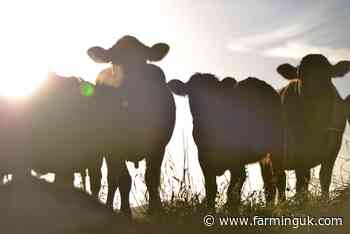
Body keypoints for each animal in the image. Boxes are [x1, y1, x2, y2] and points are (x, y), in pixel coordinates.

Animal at [87, 34, 175, 216]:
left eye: (143, 60)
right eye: (114, 62)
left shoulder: (158, 146)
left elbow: (152, 178)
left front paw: (156, 211)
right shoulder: (114, 147)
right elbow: (123, 180)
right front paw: (125, 212)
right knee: (111, 178)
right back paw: (108, 208)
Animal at [167, 74, 284, 209]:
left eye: (215, 95)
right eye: (192, 93)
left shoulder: (237, 163)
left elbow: (232, 191)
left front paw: (231, 208)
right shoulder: (203, 159)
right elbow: (211, 189)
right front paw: (210, 209)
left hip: (277, 146)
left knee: (280, 178)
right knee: (269, 183)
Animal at [274, 54, 350, 199]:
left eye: (328, 75)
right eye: (300, 76)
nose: (313, 96)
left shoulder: (334, 146)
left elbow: (324, 176)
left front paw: (325, 199)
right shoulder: (298, 150)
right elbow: (302, 180)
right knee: (279, 180)